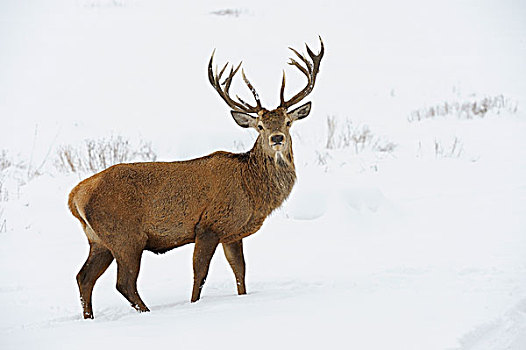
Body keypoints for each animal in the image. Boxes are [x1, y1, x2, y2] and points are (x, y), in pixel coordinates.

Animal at [69, 37, 326, 318]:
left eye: (288, 122)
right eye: (260, 126)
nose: (277, 138)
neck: (251, 188)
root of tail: (75, 196)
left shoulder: (231, 233)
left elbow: (240, 272)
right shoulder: (208, 225)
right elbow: (199, 274)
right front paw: (194, 305)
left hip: (98, 240)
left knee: (84, 277)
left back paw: (90, 318)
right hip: (125, 236)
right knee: (124, 282)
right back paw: (147, 312)